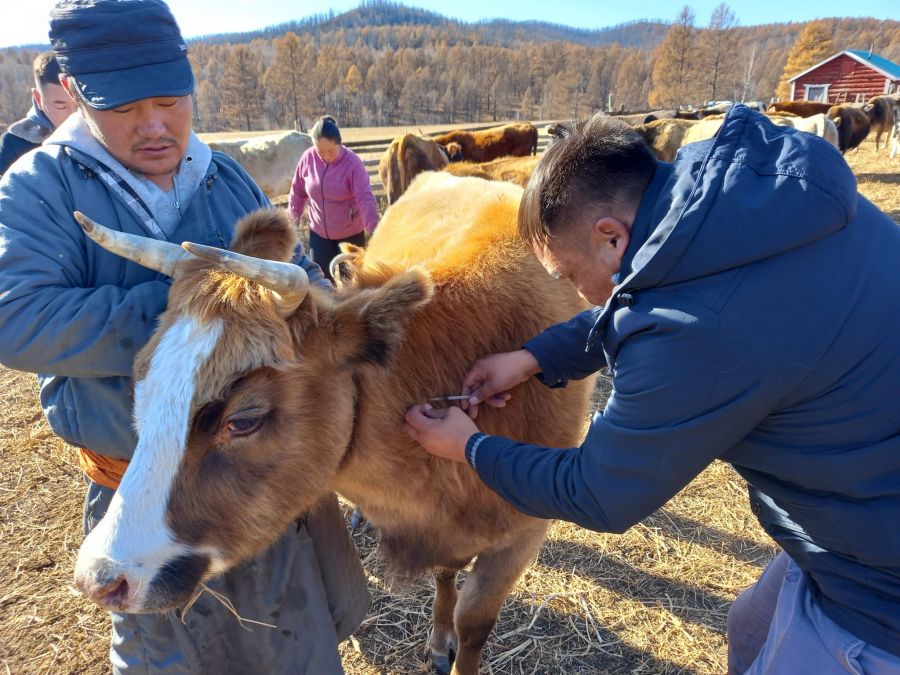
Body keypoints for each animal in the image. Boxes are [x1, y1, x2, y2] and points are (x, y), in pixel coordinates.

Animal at [74, 174, 596, 675]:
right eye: (140, 385)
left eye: (244, 420)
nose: (99, 578)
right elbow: (446, 575)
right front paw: (437, 638)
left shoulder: (523, 535)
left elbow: (474, 623)